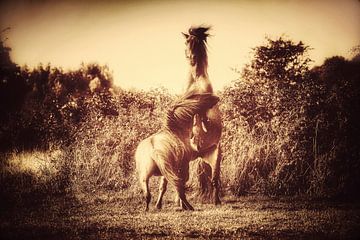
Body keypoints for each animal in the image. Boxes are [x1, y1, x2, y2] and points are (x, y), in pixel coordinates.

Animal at [136, 25, 222, 211]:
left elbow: (201, 115)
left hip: (213, 155)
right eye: (186, 42)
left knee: (214, 180)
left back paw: (214, 201)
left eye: (197, 43)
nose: (191, 58)